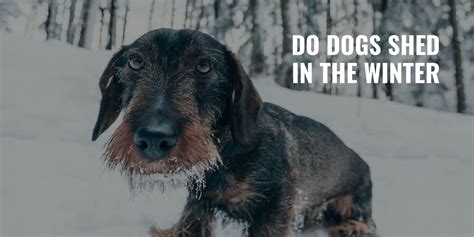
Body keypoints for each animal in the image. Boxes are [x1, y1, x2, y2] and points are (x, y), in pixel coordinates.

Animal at [91, 28, 374, 236]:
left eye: (204, 66)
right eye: (135, 61)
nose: (153, 138)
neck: (224, 153)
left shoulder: (275, 207)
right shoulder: (199, 204)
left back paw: (352, 228)